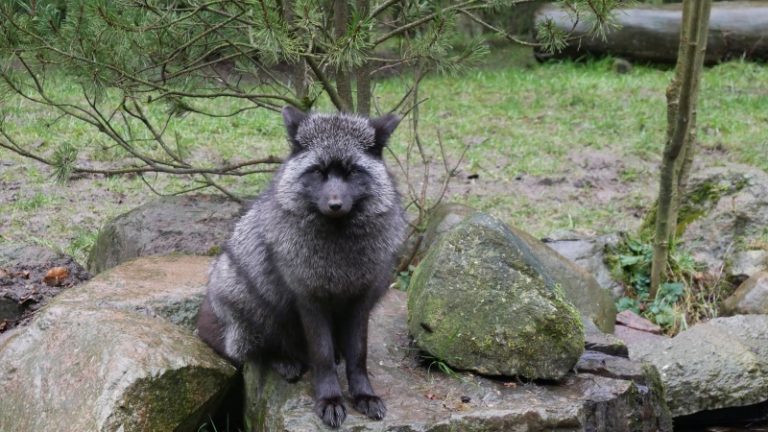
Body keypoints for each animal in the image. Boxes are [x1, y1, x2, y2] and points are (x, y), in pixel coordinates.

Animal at [195, 107, 404, 428]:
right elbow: (321, 355)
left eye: (353, 172)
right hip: (251, 302)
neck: (338, 253)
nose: (335, 204)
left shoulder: (361, 300)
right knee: (253, 351)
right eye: (318, 171)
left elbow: (358, 356)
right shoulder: (309, 300)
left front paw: (364, 395)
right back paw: (285, 360)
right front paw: (329, 399)